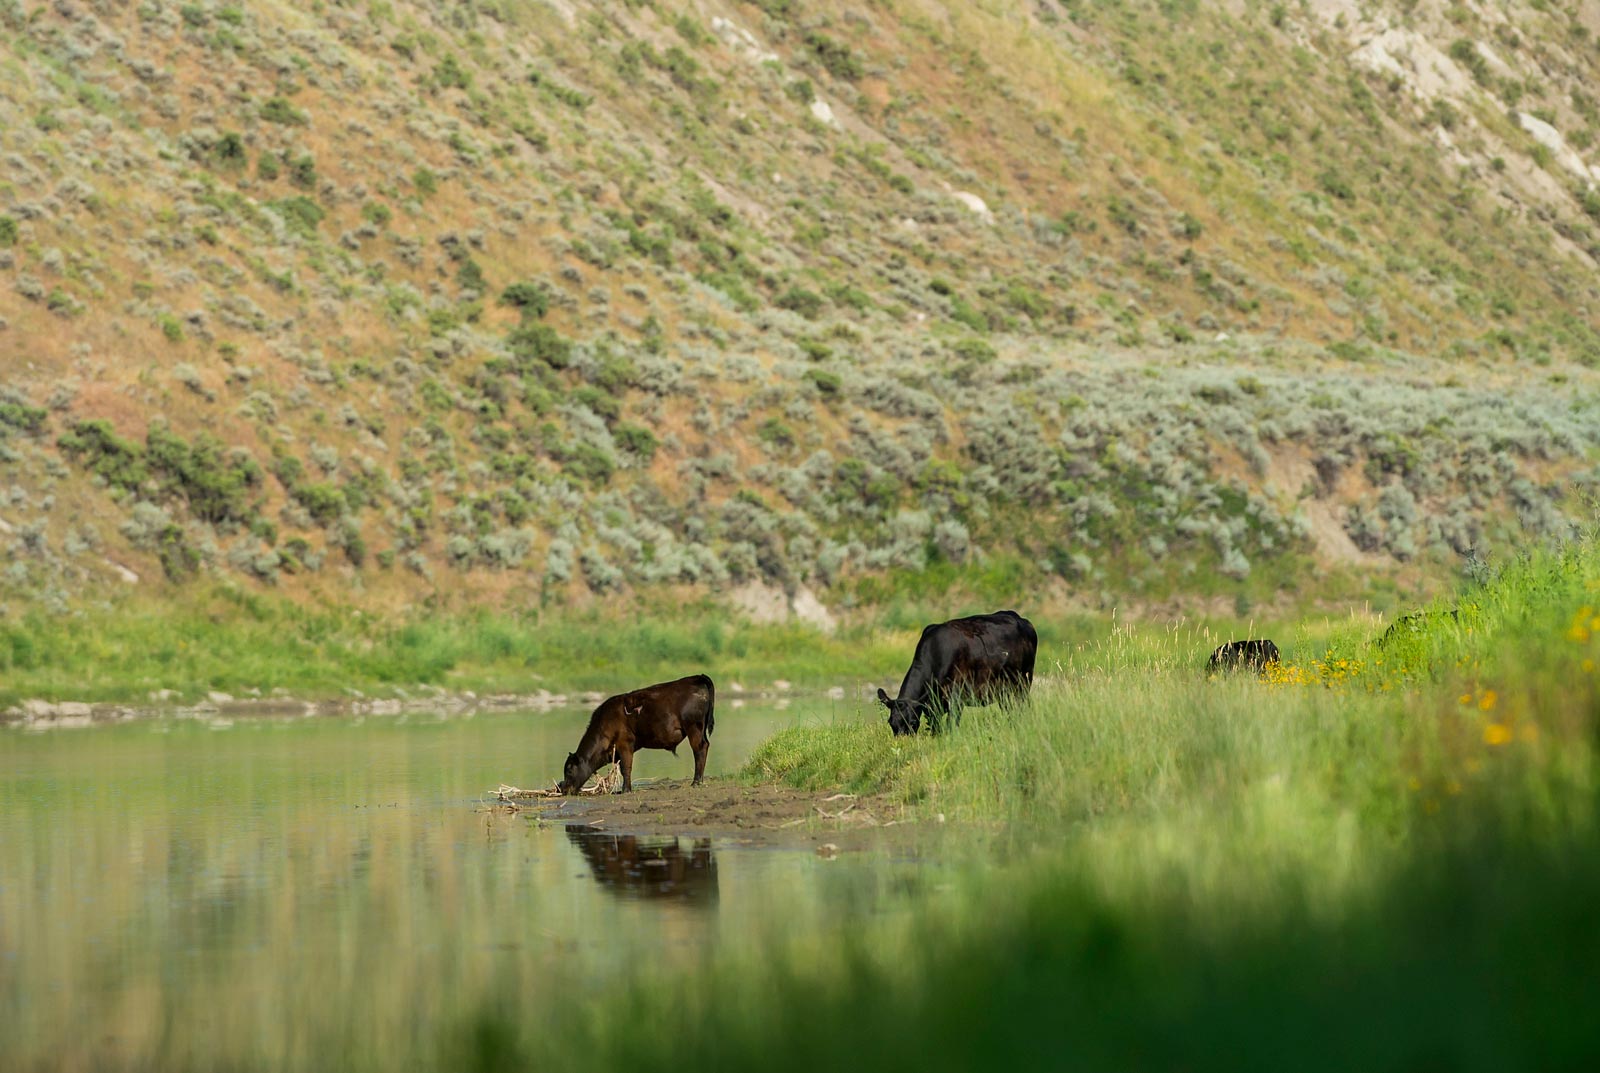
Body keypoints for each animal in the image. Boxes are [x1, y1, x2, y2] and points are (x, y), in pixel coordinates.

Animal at [560, 674, 716, 793]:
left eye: (569, 770)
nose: (564, 789)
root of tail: (696, 677)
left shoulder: (624, 744)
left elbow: (626, 768)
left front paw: (625, 790)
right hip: (700, 729)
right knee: (705, 746)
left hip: (694, 727)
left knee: (699, 749)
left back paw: (696, 781)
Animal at [876, 607, 1036, 735]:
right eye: (892, 723)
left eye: (912, 722)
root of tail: (1018, 618)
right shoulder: (933, 708)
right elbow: (936, 730)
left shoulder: (956, 699)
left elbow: (951, 726)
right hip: (1004, 690)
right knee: (1009, 709)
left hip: (1024, 681)